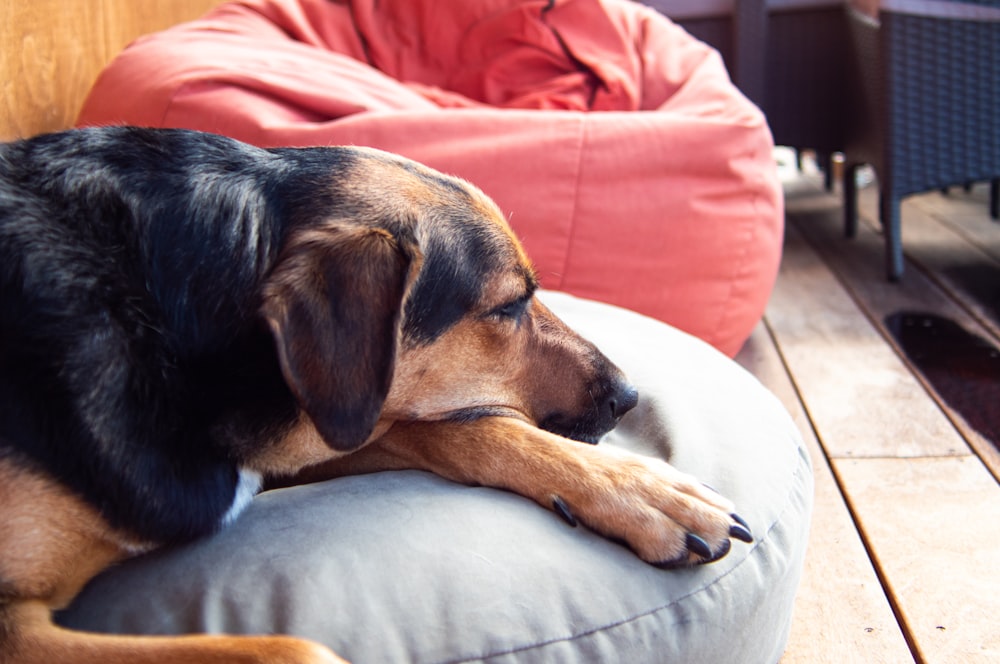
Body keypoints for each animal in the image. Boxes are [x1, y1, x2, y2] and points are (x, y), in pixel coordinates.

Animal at [0, 126, 752, 664]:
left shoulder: (324, 420)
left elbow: (452, 425)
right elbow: (296, 651)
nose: (629, 395)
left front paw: (639, 488)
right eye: (509, 304)